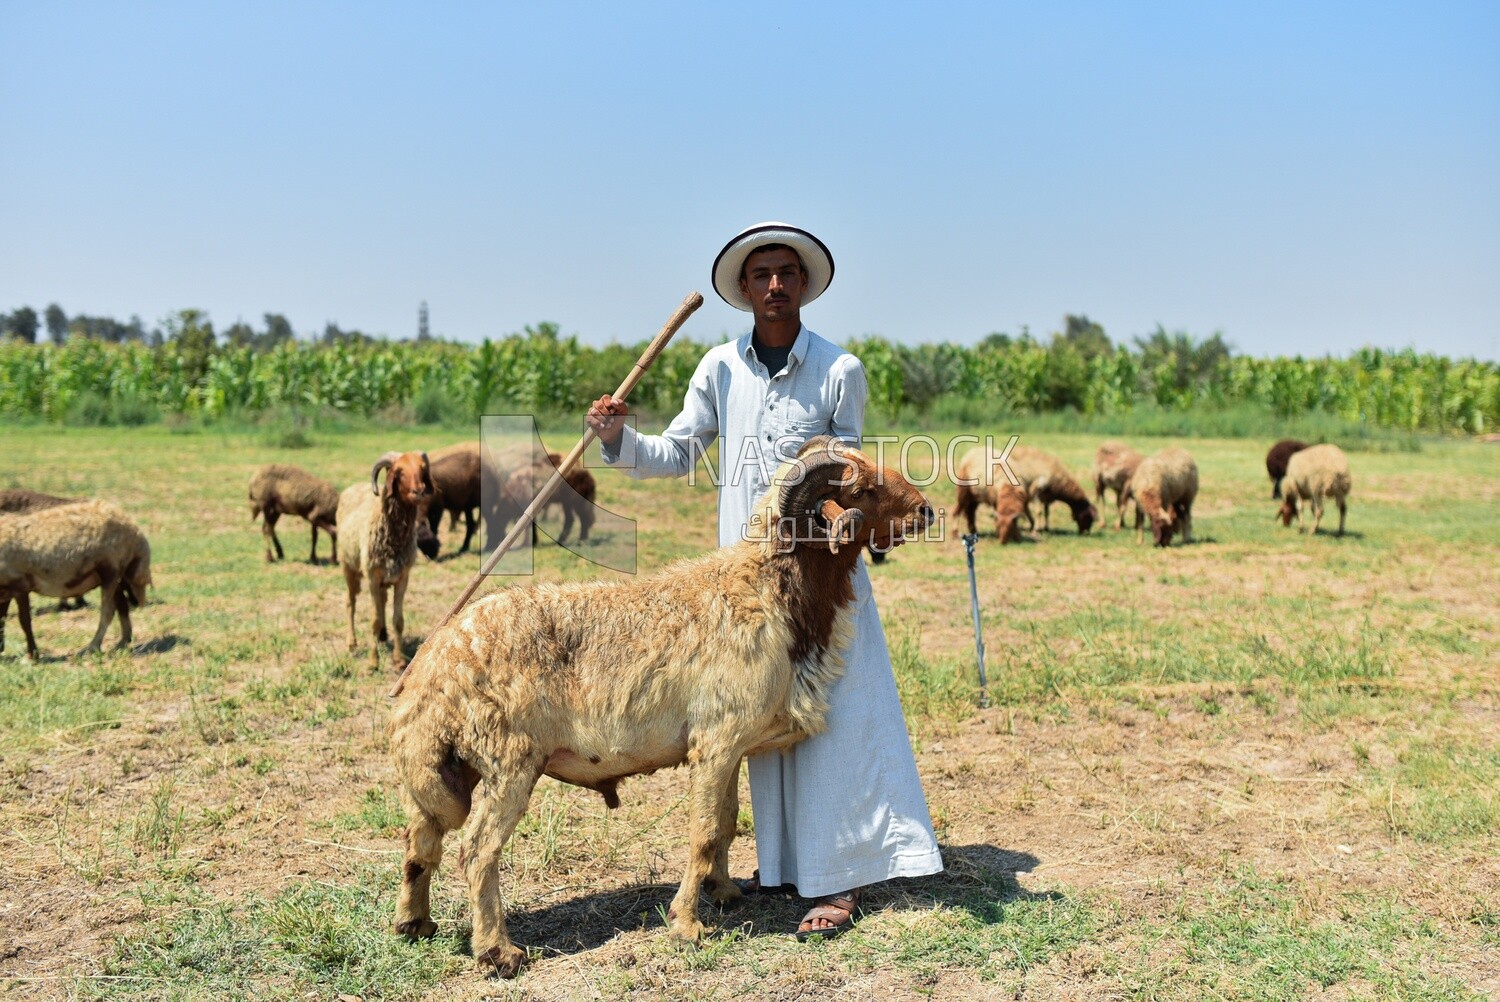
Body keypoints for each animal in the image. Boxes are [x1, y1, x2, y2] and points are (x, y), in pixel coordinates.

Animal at [0, 501, 152, 657]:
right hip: (113, 576)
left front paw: (33, 655)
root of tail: (134, 529)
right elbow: (2, 620)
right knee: (122, 605)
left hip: (111, 568)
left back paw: (93, 646)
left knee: (108, 611)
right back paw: (123, 642)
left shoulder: (20, 585)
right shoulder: (5, 591)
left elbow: (24, 621)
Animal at [339, 453, 435, 672]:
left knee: (382, 601)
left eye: (422, 468)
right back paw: (351, 643)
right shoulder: (372, 577)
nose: (419, 491)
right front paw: (373, 662)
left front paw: (398, 660)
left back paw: (383, 636)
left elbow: (398, 620)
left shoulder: (402, 577)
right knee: (350, 602)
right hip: (348, 566)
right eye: (399, 471)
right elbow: (373, 621)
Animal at [390, 441, 936, 972]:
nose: (926, 512)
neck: (770, 595)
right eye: (862, 491)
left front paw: (724, 891)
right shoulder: (716, 743)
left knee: (421, 838)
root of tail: (434, 664)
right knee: (478, 849)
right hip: (509, 762)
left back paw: (414, 924)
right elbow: (703, 831)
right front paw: (687, 925)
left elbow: (727, 821)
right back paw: (497, 952)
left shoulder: (727, 744)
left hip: (449, 767)